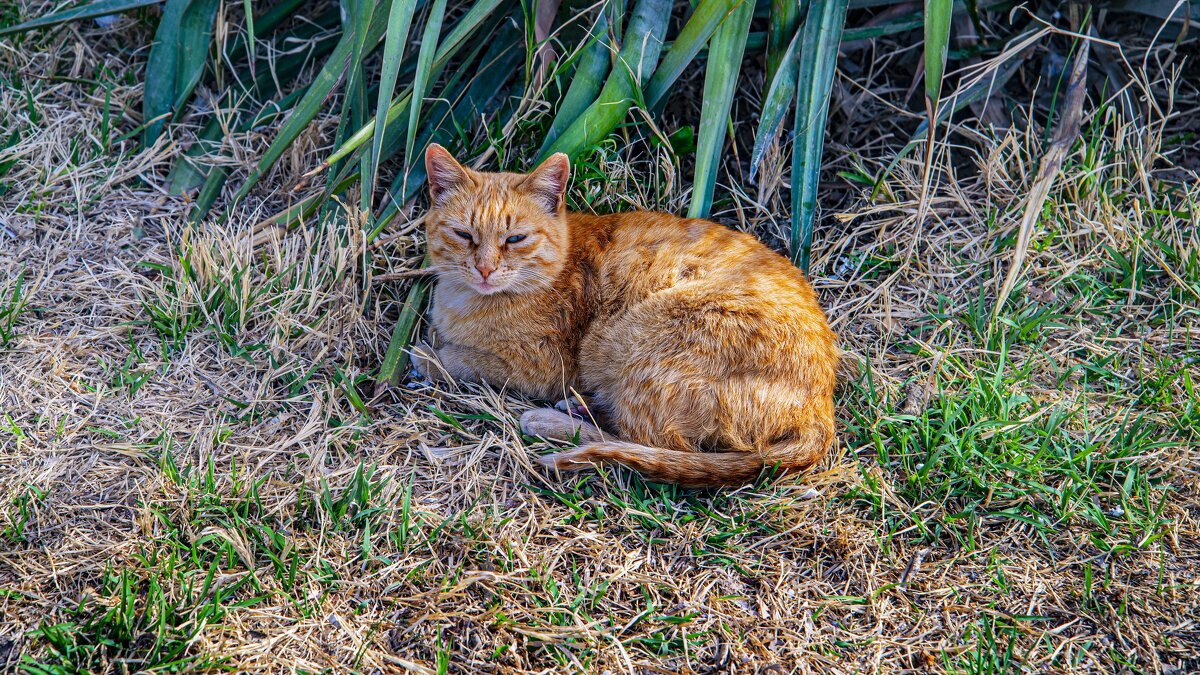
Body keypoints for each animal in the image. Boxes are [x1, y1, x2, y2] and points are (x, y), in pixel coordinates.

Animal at [410, 144, 835, 485]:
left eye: (515, 239)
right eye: (464, 235)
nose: (484, 269)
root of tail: (822, 405)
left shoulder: (542, 366)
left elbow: (466, 360)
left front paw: (431, 357)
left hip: (640, 339)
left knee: (647, 445)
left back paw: (551, 421)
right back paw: (580, 406)